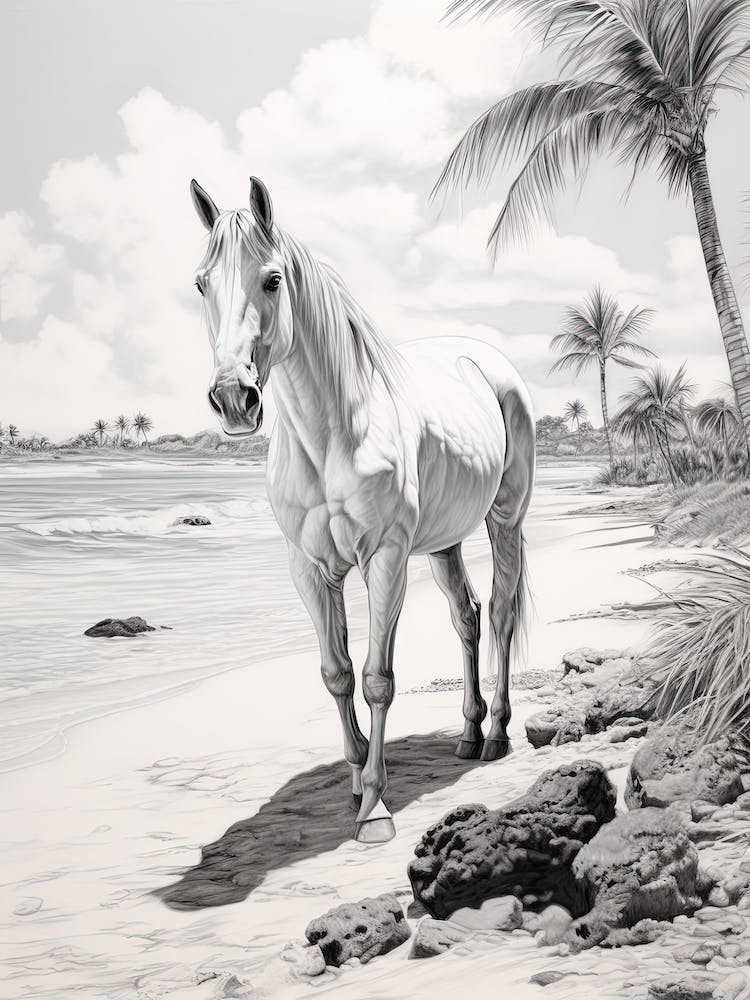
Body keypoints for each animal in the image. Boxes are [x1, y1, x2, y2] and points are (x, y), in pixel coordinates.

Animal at [189, 177, 536, 844]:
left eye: (272, 279)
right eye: (201, 283)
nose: (234, 398)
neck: (334, 435)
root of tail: (485, 359)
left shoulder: (386, 559)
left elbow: (377, 678)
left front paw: (375, 808)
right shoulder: (308, 568)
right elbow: (338, 672)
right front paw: (354, 783)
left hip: (503, 520)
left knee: (502, 614)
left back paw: (498, 735)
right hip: (444, 541)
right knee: (468, 617)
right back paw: (468, 733)